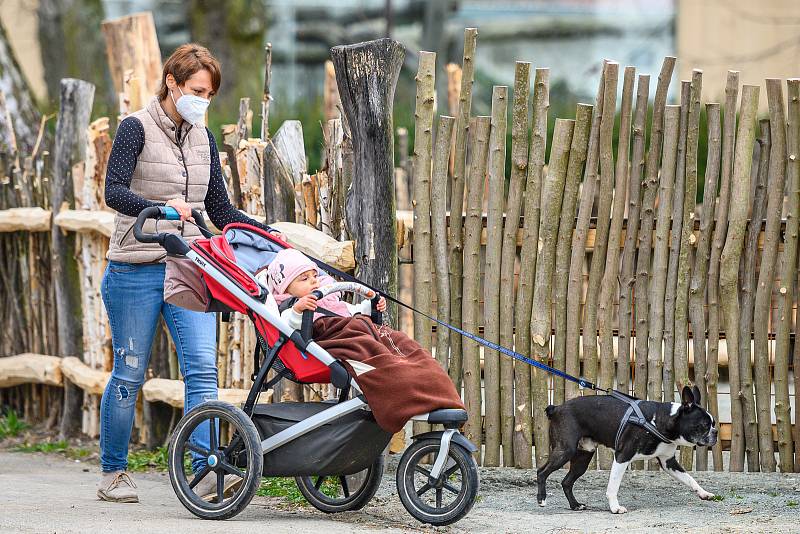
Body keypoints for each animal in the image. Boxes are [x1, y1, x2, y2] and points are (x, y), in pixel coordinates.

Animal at [536, 390, 720, 516]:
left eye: (713, 423)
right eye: (704, 425)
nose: (716, 432)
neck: (659, 420)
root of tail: (557, 408)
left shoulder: (669, 462)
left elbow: (689, 479)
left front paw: (704, 493)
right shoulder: (622, 456)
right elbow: (613, 486)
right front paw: (615, 508)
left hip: (583, 456)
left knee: (567, 481)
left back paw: (575, 505)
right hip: (565, 450)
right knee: (542, 471)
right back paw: (542, 498)